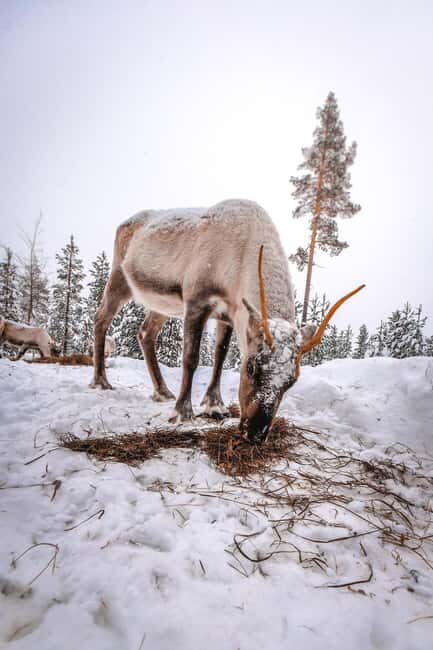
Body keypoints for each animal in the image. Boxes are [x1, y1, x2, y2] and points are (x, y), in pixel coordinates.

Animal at [91, 199, 364, 444]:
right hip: (119, 278)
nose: (255, 433)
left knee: (146, 332)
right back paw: (101, 381)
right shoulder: (196, 300)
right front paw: (183, 413)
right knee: (100, 318)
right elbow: (191, 358)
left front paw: (214, 406)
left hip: (164, 305)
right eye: (251, 367)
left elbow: (219, 358)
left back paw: (162, 391)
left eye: (292, 380)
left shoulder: (228, 315)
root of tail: (125, 222)